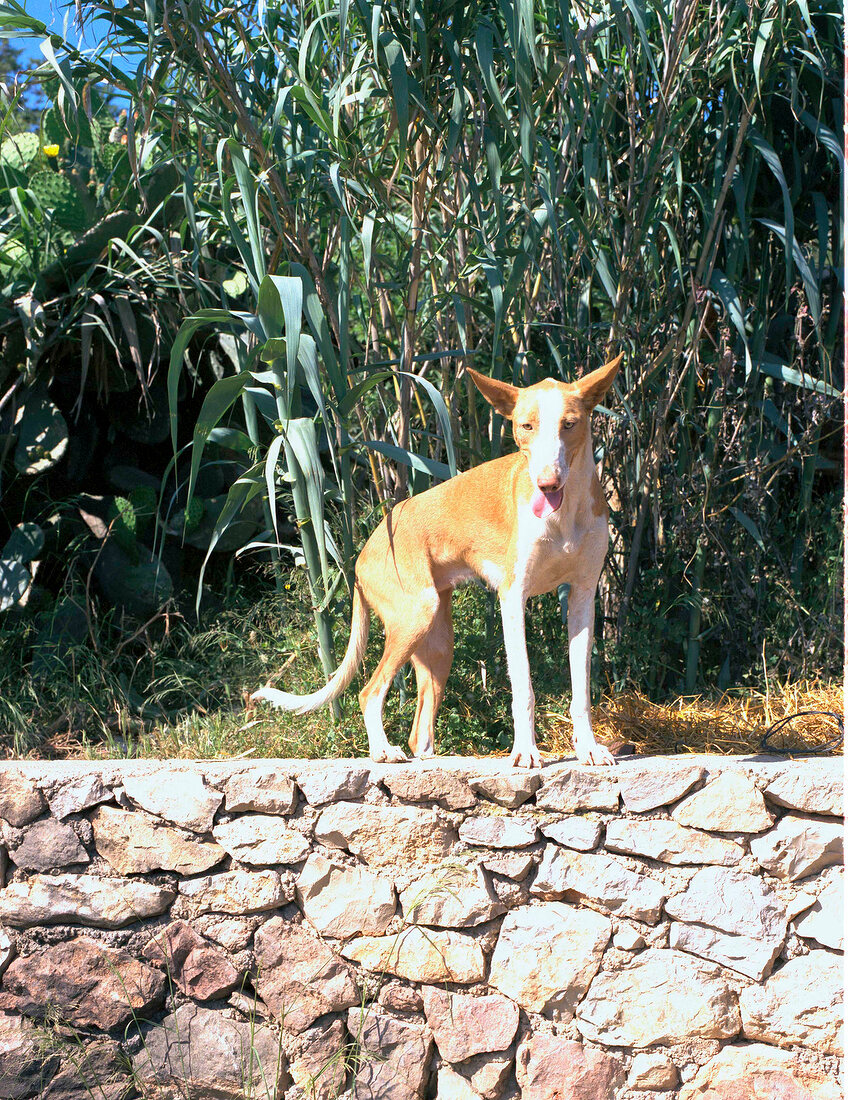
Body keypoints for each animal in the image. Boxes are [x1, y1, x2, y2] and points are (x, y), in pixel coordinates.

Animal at [254, 356, 624, 770]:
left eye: (569, 424)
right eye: (526, 426)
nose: (547, 484)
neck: (564, 516)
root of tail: (362, 555)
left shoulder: (582, 599)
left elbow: (582, 692)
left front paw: (589, 749)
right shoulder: (513, 598)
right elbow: (523, 688)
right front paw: (525, 752)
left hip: (438, 643)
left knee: (419, 732)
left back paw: (429, 761)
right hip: (416, 615)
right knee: (370, 692)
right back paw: (383, 751)